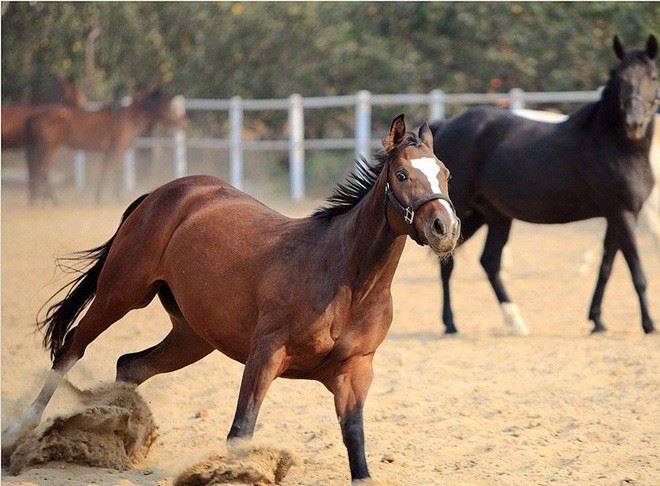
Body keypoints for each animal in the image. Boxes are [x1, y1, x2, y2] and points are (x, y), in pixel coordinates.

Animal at [2, 115, 462, 482]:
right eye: (401, 175)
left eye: (446, 173)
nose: (445, 229)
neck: (344, 278)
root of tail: (163, 193)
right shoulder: (265, 354)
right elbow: (242, 429)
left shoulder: (355, 372)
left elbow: (355, 441)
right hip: (121, 293)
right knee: (71, 348)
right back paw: (21, 435)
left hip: (192, 336)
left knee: (130, 366)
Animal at [25, 87, 186, 203]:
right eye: (168, 108)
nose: (184, 123)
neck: (129, 118)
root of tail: (33, 115)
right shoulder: (119, 149)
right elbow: (117, 171)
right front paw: (118, 197)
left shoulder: (108, 151)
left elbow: (104, 172)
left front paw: (98, 198)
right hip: (50, 148)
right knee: (43, 170)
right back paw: (54, 200)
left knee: (37, 172)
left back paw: (39, 200)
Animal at [430, 34, 656, 336]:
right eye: (620, 78)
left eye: (652, 76)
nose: (634, 123)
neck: (614, 144)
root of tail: (445, 126)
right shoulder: (623, 214)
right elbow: (637, 272)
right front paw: (649, 324)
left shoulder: (616, 216)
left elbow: (606, 268)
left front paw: (597, 321)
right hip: (461, 213)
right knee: (451, 263)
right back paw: (452, 324)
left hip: (492, 216)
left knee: (488, 262)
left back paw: (515, 322)